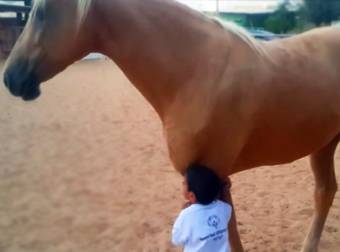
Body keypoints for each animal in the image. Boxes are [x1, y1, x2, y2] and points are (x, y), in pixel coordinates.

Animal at [3, 0, 340, 251]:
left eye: (41, 12)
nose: (10, 77)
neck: (195, 72)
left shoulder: (212, 172)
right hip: (323, 145)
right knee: (325, 192)